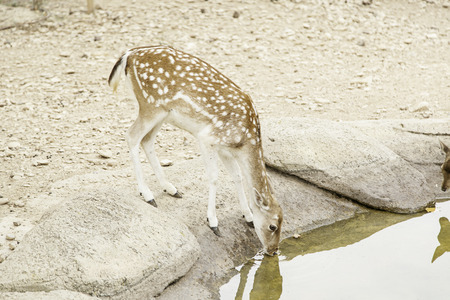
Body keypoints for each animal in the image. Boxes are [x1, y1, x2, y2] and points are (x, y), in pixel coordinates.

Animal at [108, 45, 284, 255]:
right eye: (273, 226)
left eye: (282, 222)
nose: (273, 251)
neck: (244, 140)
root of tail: (128, 55)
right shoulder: (208, 138)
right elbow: (214, 177)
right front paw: (213, 222)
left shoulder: (224, 148)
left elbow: (237, 176)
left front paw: (248, 216)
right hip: (150, 104)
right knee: (132, 136)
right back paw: (148, 194)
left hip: (162, 113)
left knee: (147, 140)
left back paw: (171, 188)